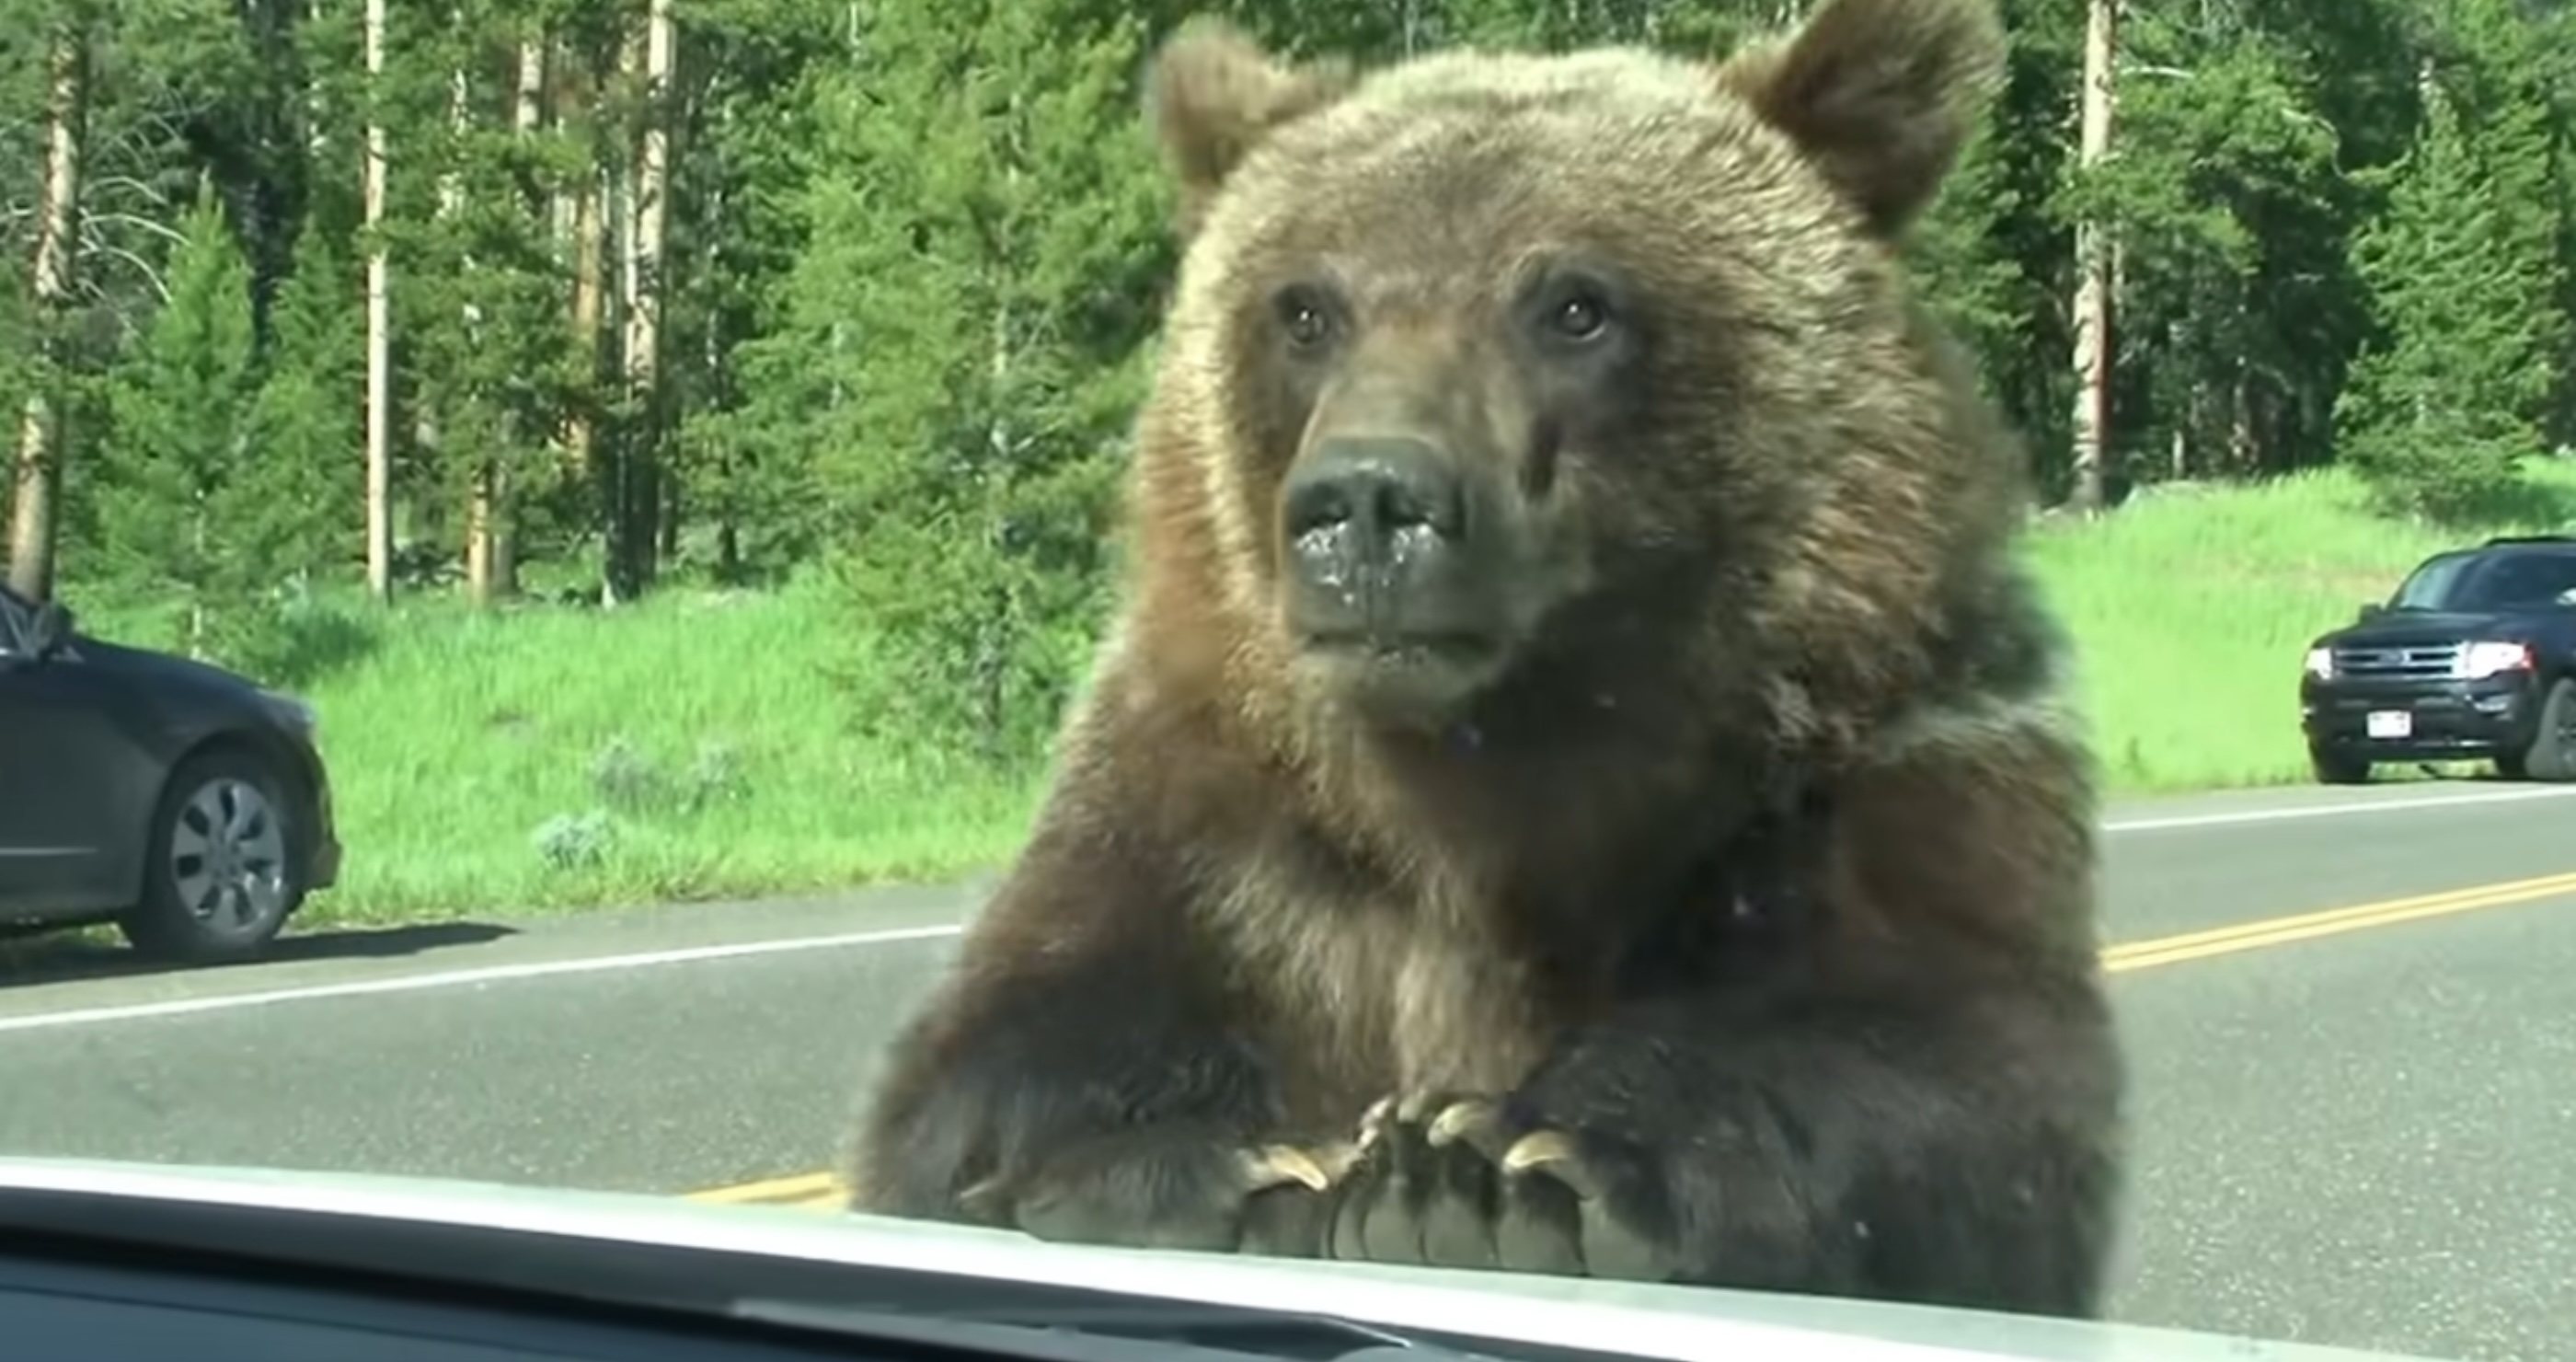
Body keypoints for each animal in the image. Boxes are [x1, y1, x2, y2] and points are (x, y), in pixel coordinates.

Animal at [844, 0, 2127, 1320]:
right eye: (1304, 307)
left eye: (1574, 304)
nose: (1366, 503)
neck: (1490, 776)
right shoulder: (1211, 810)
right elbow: (993, 1060)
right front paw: (1203, 1165)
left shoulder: (1887, 758)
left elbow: (1950, 1065)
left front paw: (1503, 1169)